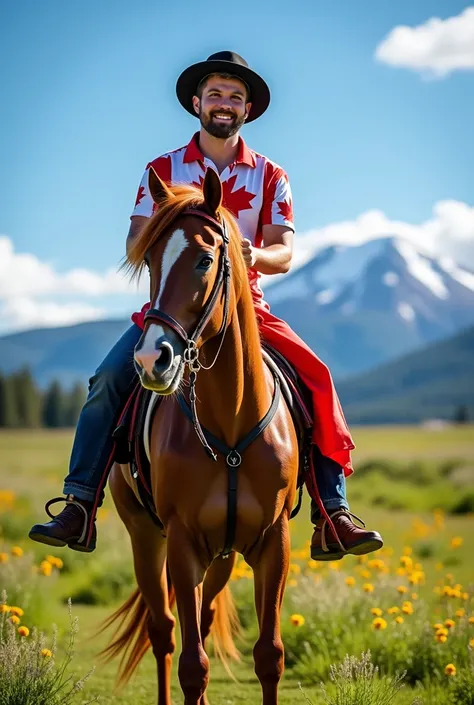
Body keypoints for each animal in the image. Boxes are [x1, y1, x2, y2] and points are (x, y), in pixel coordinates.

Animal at [101, 166, 298, 704]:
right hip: (145, 537)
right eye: (149, 259)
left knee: (204, 620)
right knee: (164, 631)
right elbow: (191, 664)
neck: (230, 419)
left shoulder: (272, 541)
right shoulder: (183, 543)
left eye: (206, 259)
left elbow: (269, 656)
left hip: (223, 554)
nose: (152, 358)